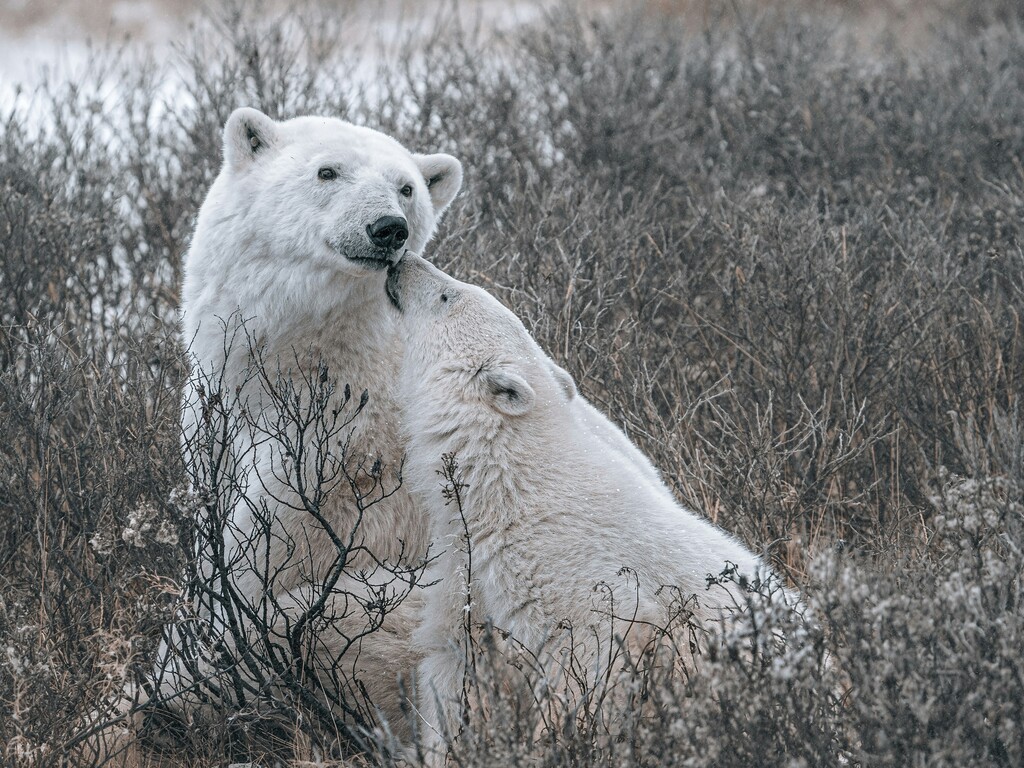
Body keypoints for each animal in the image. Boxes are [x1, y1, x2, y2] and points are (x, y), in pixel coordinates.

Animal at [170, 107, 463, 744]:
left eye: (406, 187)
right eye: (328, 171)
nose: (388, 228)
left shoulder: (330, 462)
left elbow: (251, 568)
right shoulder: (216, 418)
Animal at [384, 255, 790, 762]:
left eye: (447, 295)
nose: (401, 261)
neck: (508, 487)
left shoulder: (580, 592)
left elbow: (587, 675)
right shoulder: (468, 568)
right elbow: (454, 663)